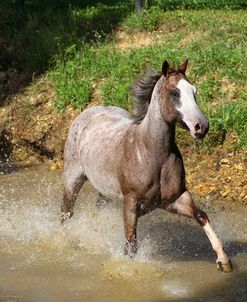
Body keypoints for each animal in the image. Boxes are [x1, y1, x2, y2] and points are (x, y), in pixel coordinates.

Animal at [60, 60, 233, 272]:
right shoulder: (130, 204)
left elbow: (201, 216)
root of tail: (87, 112)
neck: (151, 156)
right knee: (66, 213)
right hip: (72, 180)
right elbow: (131, 245)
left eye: (194, 91)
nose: (202, 127)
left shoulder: (175, 199)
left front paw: (223, 261)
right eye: (174, 93)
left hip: (105, 192)